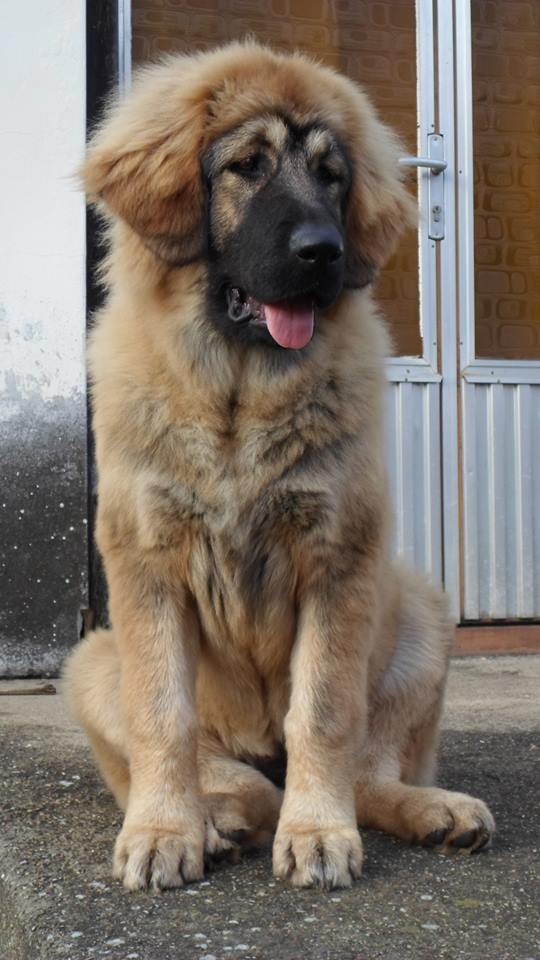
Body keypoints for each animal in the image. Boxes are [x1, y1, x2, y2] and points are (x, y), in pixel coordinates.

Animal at [64, 41, 494, 892]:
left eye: (332, 176)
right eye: (247, 166)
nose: (324, 252)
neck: (237, 397)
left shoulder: (338, 559)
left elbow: (322, 714)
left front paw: (318, 832)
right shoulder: (146, 564)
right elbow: (164, 713)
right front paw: (166, 830)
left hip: (421, 612)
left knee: (367, 771)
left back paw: (431, 810)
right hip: (93, 661)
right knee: (227, 771)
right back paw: (216, 816)